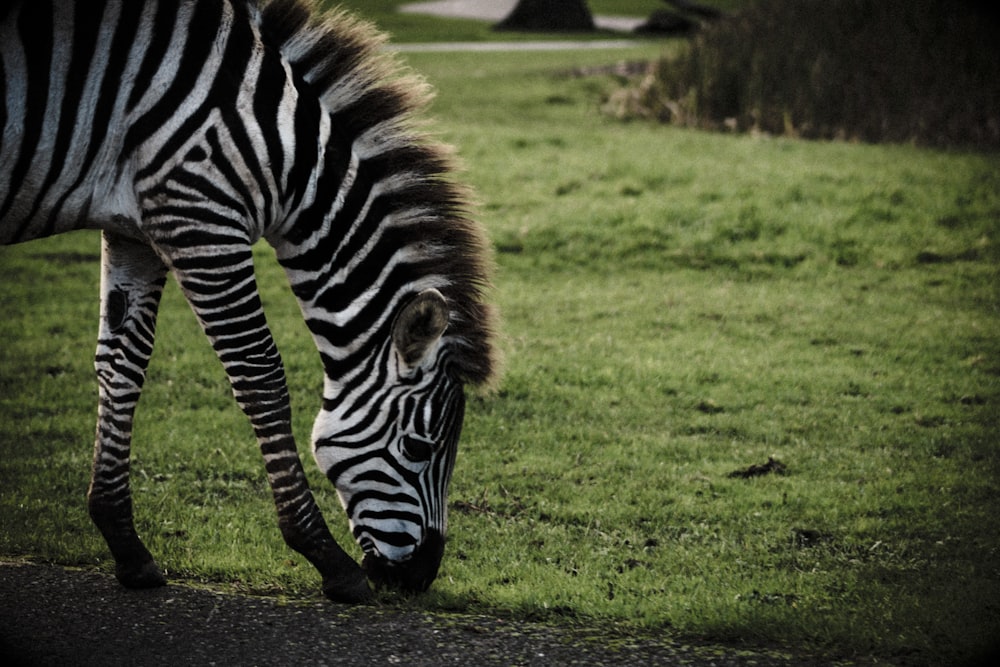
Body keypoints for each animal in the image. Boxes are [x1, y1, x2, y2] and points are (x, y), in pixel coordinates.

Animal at [0, 0, 498, 604]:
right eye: (420, 449)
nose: (420, 578)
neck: (280, 146)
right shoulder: (200, 216)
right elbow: (261, 377)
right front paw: (326, 558)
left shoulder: (135, 228)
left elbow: (122, 366)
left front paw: (126, 545)